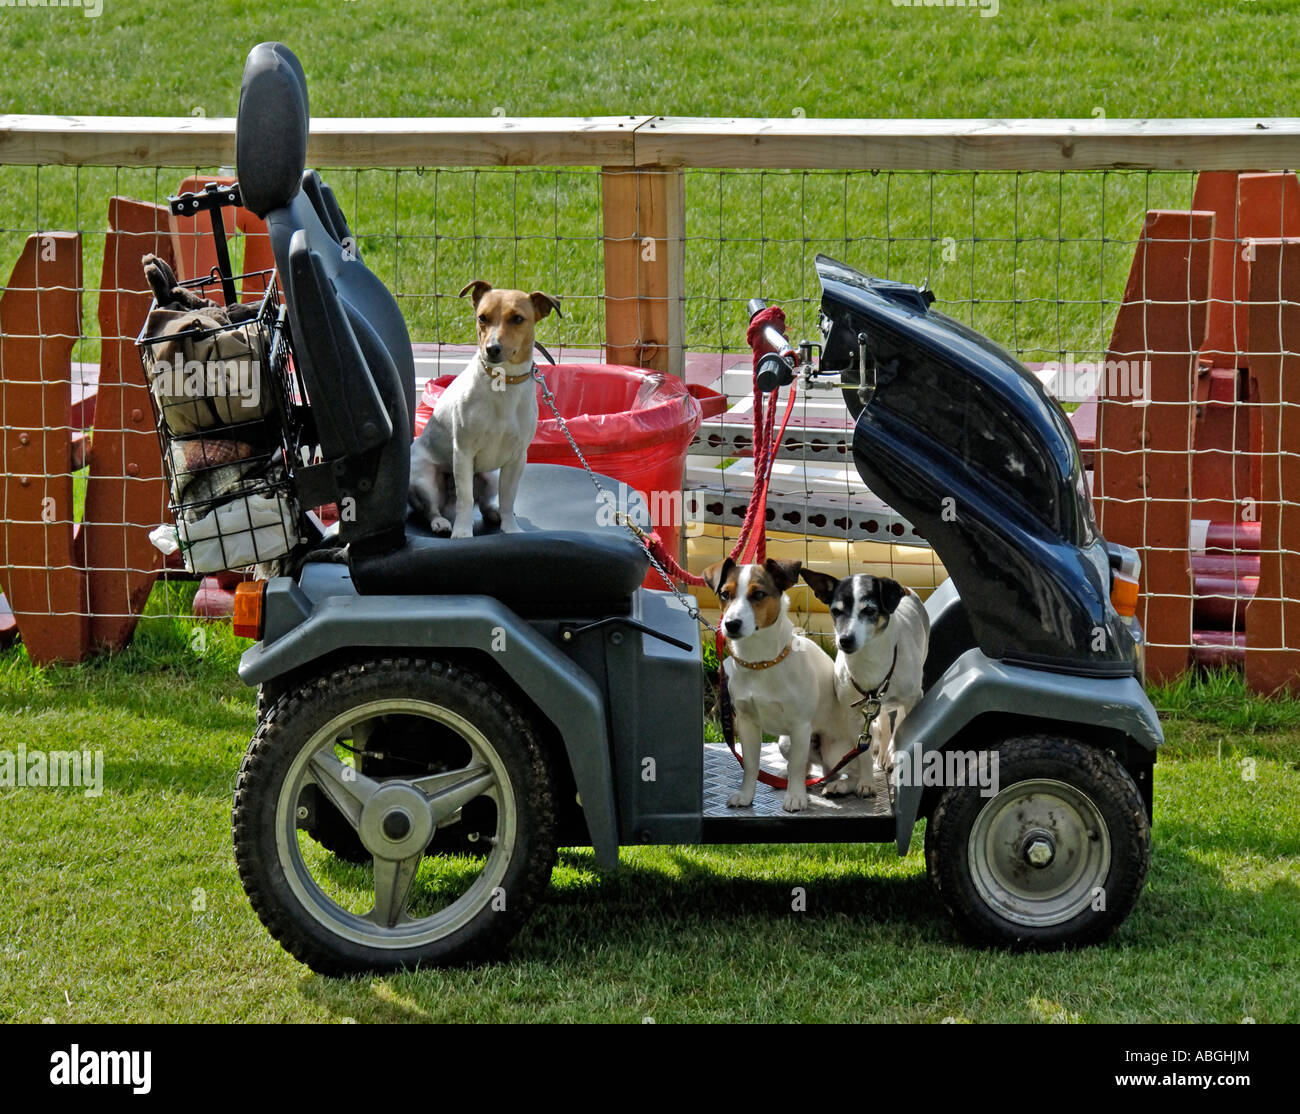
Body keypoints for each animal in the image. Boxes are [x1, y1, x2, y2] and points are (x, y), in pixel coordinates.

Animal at [408, 280, 561, 535]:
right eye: (482, 317)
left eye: (517, 319)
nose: (492, 348)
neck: (503, 383)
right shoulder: (463, 452)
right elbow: (465, 499)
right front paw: (462, 532)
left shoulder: (517, 458)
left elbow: (508, 498)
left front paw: (511, 528)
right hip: (424, 478)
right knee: (431, 508)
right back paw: (441, 522)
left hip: (489, 477)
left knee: (485, 503)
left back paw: (494, 514)